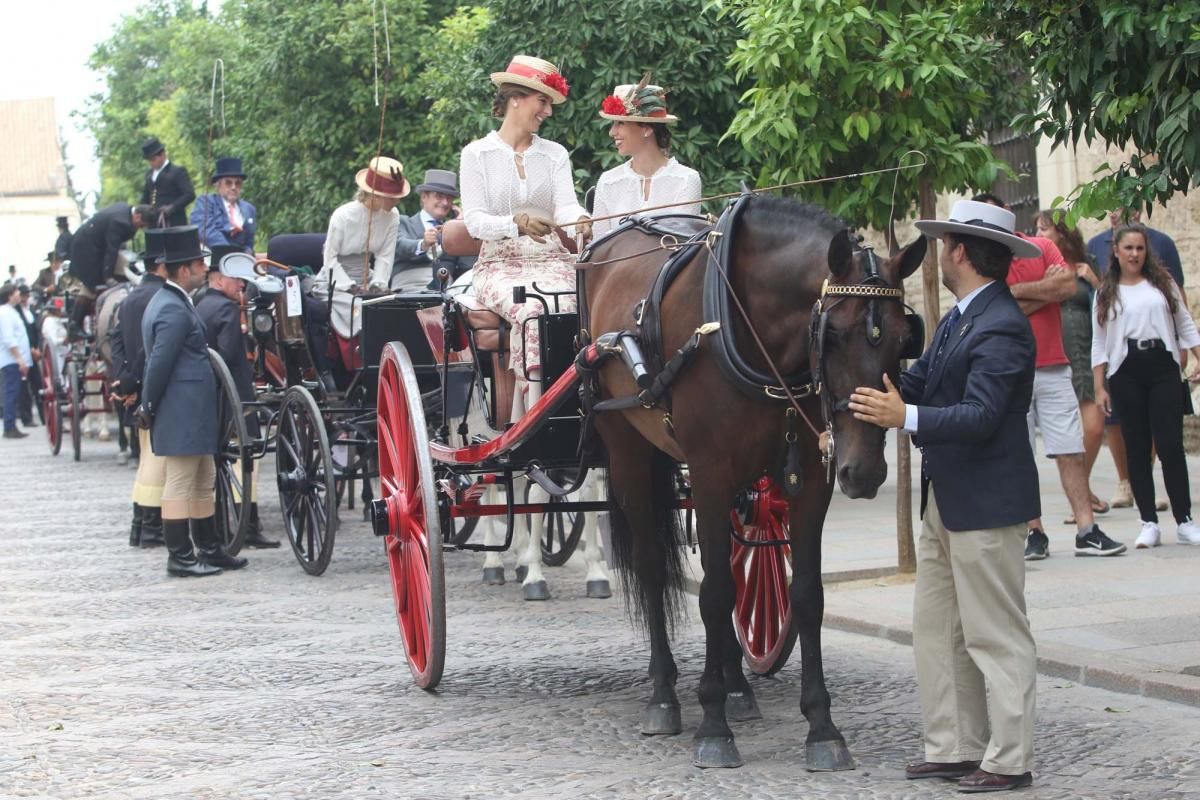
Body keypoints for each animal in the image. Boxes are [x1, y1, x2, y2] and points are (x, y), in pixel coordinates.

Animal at [585, 195, 921, 767]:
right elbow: (714, 593)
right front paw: (713, 724)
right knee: (653, 568)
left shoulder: (809, 477)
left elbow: (803, 594)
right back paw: (664, 694)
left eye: (903, 339)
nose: (864, 471)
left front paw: (822, 727)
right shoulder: (709, 471)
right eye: (833, 334)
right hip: (628, 445)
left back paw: (737, 686)